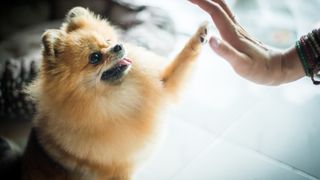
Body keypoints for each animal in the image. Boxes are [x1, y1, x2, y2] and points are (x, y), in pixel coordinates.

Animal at [5, 6, 209, 179]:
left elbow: (181, 61)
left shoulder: (162, 85)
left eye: (108, 41)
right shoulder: (119, 170)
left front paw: (200, 36)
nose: (118, 45)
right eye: (95, 57)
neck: (117, 97)